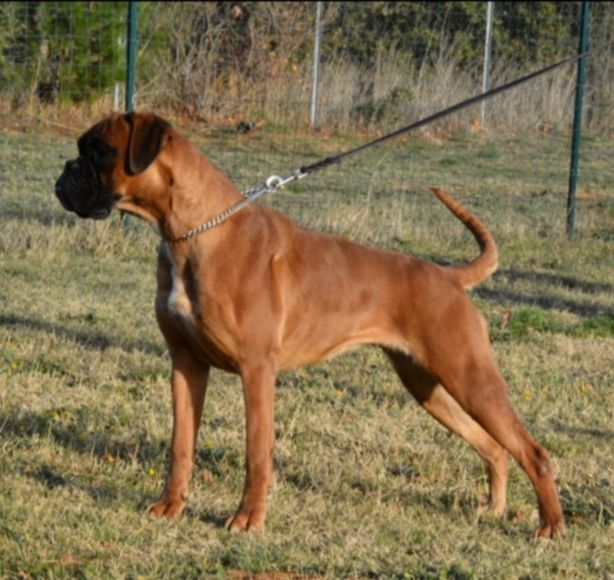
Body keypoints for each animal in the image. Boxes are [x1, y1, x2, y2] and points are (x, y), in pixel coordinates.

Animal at [55, 112, 565, 538]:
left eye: (99, 151)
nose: (64, 170)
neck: (194, 231)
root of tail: (448, 276)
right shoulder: (185, 364)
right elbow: (181, 445)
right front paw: (170, 507)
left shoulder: (257, 371)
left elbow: (257, 452)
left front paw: (248, 519)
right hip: (429, 387)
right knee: (495, 447)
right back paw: (494, 509)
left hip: (470, 378)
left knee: (534, 453)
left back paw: (550, 528)